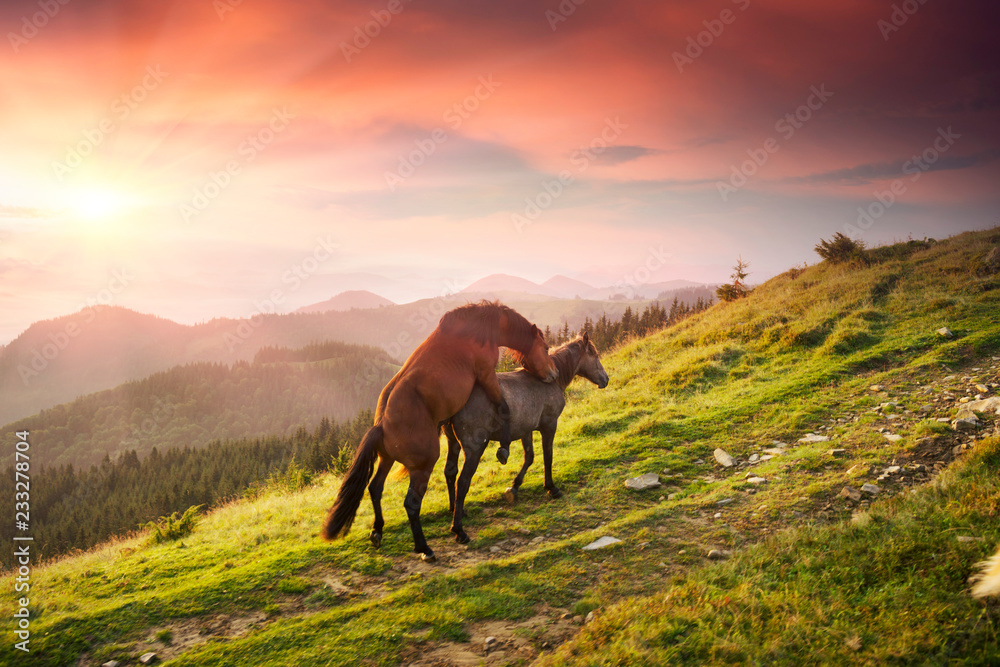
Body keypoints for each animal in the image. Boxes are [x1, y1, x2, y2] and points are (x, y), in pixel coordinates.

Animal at [322, 301, 558, 562]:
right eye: (545, 347)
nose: (554, 374)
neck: (481, 329)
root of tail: (381, 425)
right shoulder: (487, 375)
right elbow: (504, 409)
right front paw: (503, 449)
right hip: (422, 467)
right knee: (411, 504)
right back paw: (425, 547)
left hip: (386, 459)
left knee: (375, 487)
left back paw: (378, 531)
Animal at [442, 332, 609, 544]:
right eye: (595, 355)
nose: (606, 379)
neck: (550, 379)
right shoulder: (549, 425)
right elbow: (548, 456)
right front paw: (551, 487)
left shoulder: (526, 431)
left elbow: (529, 458)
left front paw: (514, 487)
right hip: (474, 449)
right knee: (462, 481)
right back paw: (459, 530)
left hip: (453, 443)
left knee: (450, 472)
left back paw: (455, 510)